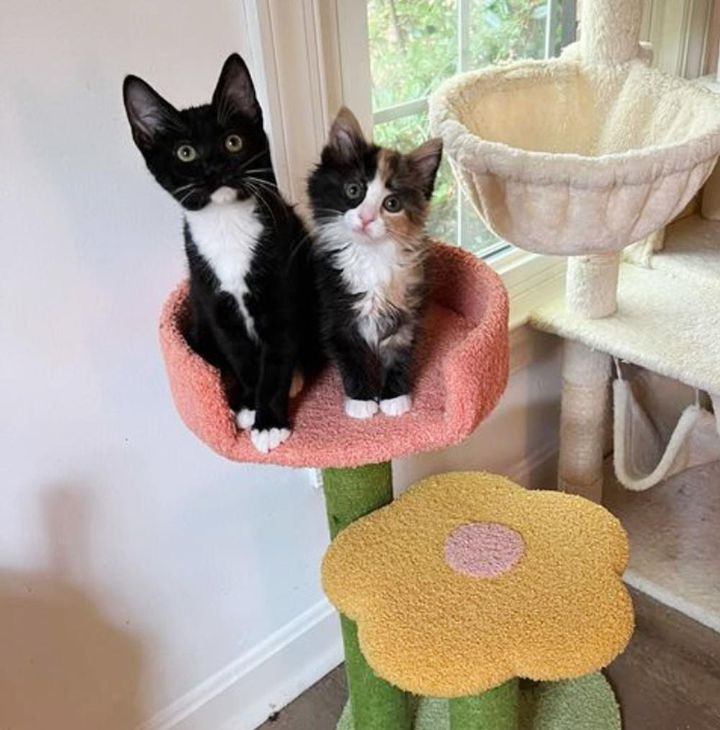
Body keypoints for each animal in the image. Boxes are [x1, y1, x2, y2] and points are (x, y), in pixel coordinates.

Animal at [124, 54, 318, 450]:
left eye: (233, 142)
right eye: (185, 152)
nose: (215, 168)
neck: (227, 226)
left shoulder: (281, 295)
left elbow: (277, 357)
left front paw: (269, 421)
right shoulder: (214, 303)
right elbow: (240, 356)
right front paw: (249, 404)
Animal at [306, 105, 442, 418]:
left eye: (392, 204)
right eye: (353, 190)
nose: (367, 218)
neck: (370, 256)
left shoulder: (406, 308)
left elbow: (399, 353)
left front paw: (395, 397)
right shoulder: (335, 312)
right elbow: (350, 359)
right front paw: (361, 401)